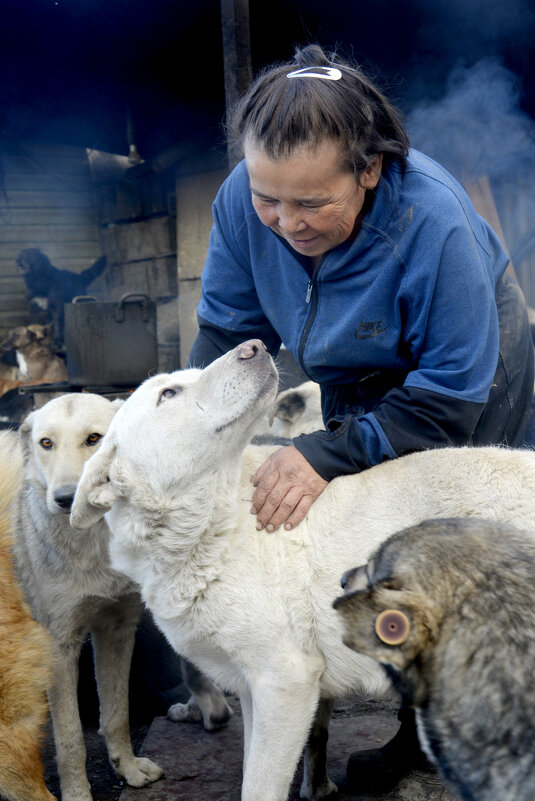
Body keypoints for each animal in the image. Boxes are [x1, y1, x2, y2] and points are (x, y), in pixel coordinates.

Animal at [13, 394, 164, 800]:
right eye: (46, 443)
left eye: (93, 439)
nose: (66, 499)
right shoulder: (60, 647)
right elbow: (70, 741)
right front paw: (78, 794)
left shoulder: (117, 629)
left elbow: (116, 715)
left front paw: (127, 768)